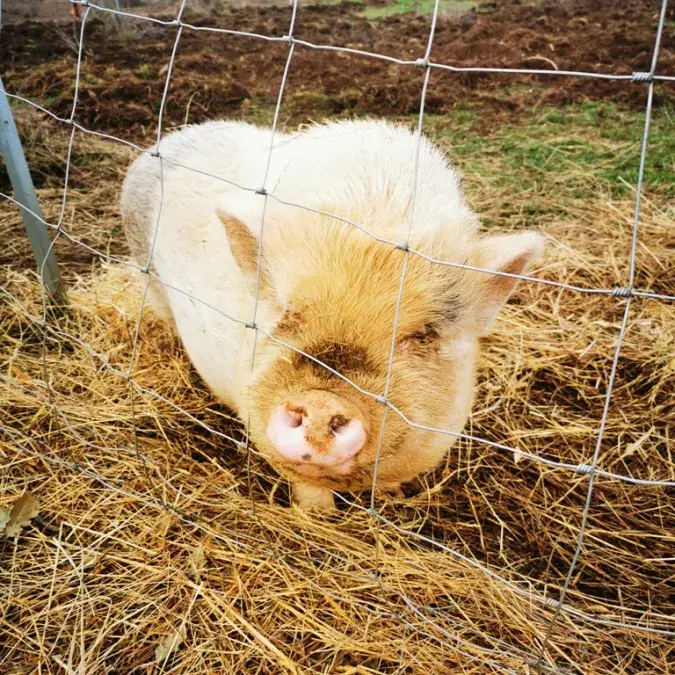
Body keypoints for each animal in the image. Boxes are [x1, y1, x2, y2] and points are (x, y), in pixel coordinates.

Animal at [121, 119, 544, 511]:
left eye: (424, 334)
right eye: (287, 311)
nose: (323, 402)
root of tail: (168, 139)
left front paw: (393, 499)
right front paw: (316, 516)